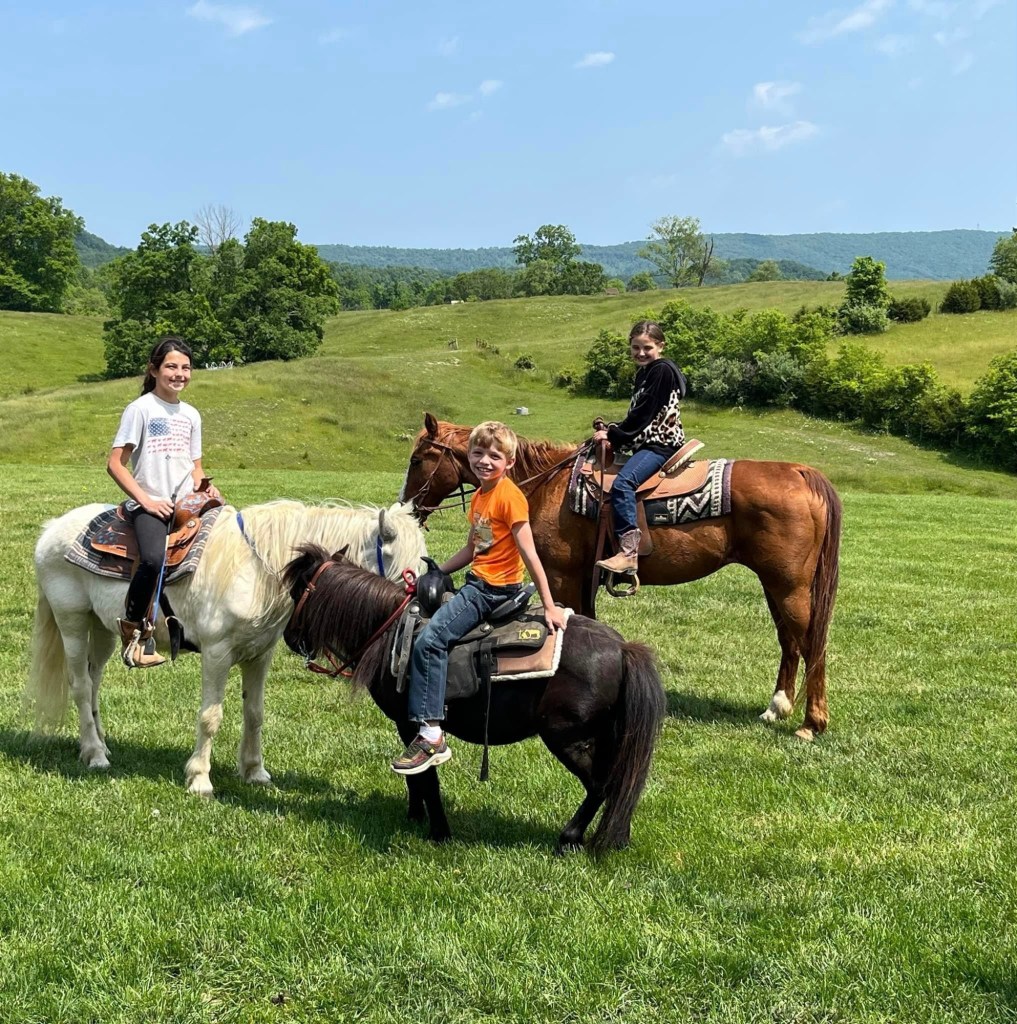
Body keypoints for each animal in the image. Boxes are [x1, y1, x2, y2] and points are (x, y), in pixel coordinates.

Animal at [26, 499, 427, 796]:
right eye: (409, 574)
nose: (423, 619)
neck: (257, 568)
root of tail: (52, 529)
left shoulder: (259, 655)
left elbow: (255, 713)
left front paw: (254, 771)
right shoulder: (217, 654)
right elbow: (211, 716)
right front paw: (200, 779)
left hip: (105, 629)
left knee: (94, 682)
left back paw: (99, 743)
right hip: (73, 622)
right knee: (80, 686)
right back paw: (95, 754)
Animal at [282, 546, 667, 853]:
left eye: (298, 590)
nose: (288, 637)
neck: (389, 630)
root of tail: (622, 648)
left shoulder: (411, 725)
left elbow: (426, 778)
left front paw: (438, 832)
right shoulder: (405, 726)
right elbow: (415, 779)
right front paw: (414, 817)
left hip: (569, 738)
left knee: (601, 785)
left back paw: (569, 838)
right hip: (604, 736)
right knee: (618, 783)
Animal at [400, 414, 842, 741]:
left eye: (417, 459)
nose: (407, 506)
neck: (548, 483)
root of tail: (800, 472)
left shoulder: (561, 576)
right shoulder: (581, 579)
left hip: (789, 586)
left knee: (811, 642)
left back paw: (811, 723)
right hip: (776, 585)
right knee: (790, 641)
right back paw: (777, 708)